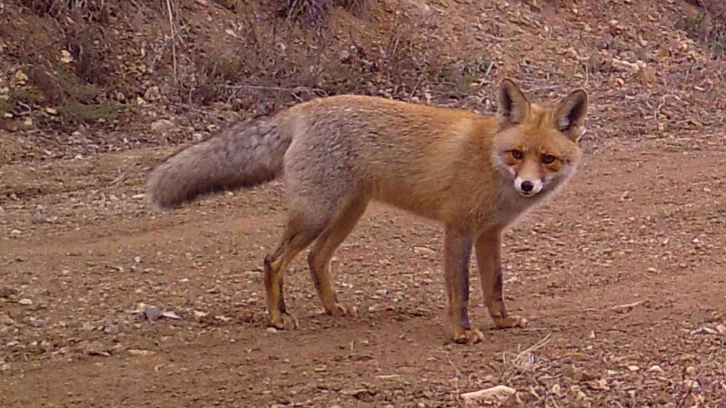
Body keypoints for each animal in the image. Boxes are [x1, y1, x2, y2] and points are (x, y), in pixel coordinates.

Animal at [148, 79, 592, 344]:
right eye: (517, 154)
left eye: (547, 159)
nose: (527, 186)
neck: (490, 162)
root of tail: (303, 109)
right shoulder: (458, 229)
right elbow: (462, 292)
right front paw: (461, 333)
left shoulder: (490, 234)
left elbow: (493, 287)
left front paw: (502, 322)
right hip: (315, 215)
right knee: (273, 261)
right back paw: (278, 317)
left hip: (347, 214)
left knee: (315, 259)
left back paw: (332, 308)